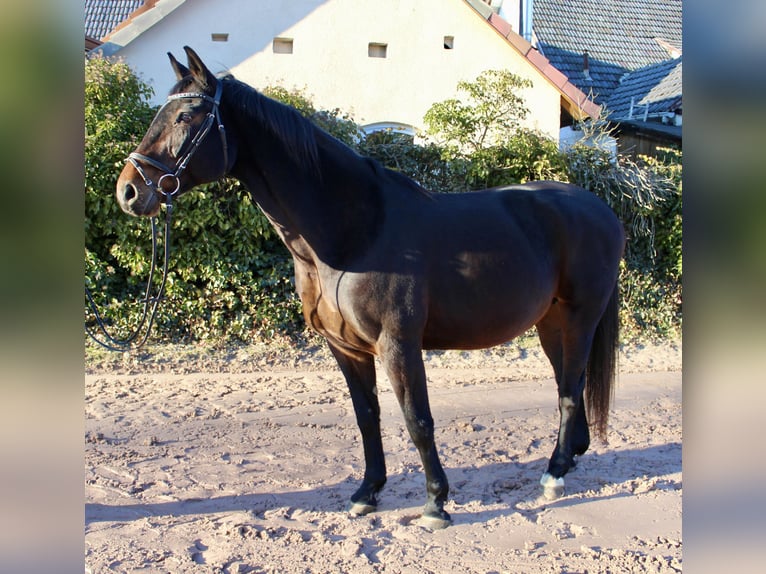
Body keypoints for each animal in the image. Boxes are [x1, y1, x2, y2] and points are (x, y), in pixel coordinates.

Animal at [116, 46, 624, 529]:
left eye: (186, 116)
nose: (128, 191)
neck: (356, 233)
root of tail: (601, 210)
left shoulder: (398, 344)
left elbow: (418, 420)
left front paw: (436, 503)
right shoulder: (345, 347)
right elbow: (367, 417)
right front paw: (367, 493)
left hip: (579, 318)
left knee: (569, 388)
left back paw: (554, 473)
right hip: (550, 323)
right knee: (570, 384)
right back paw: (568, 459)